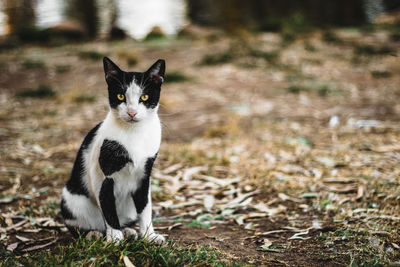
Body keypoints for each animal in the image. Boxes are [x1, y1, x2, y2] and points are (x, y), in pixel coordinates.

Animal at [59, 57, 166, 245]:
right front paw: (114, 238)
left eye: (144, 96)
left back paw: (128, 230)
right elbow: (108, 208)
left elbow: (145, 207)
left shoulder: (144, 176)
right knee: (80, 225)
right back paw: (94, 234)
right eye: (120, 96)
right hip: (70, 198)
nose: (132, 112)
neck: (134, 134)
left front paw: (149, 236)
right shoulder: (103, 177)